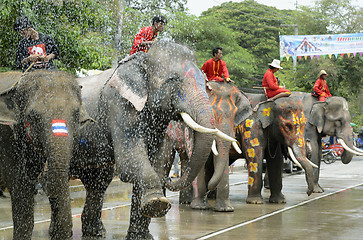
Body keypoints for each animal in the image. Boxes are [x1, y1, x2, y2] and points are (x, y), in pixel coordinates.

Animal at [74, 41, 239, 240]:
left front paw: (142, 235)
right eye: (173, 80)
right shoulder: (119, 105)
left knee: (98, 180)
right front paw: (157, 203)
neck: (142, 60)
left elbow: (156, 163)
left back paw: (95, 232)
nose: (170, 178)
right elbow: (130, 161)